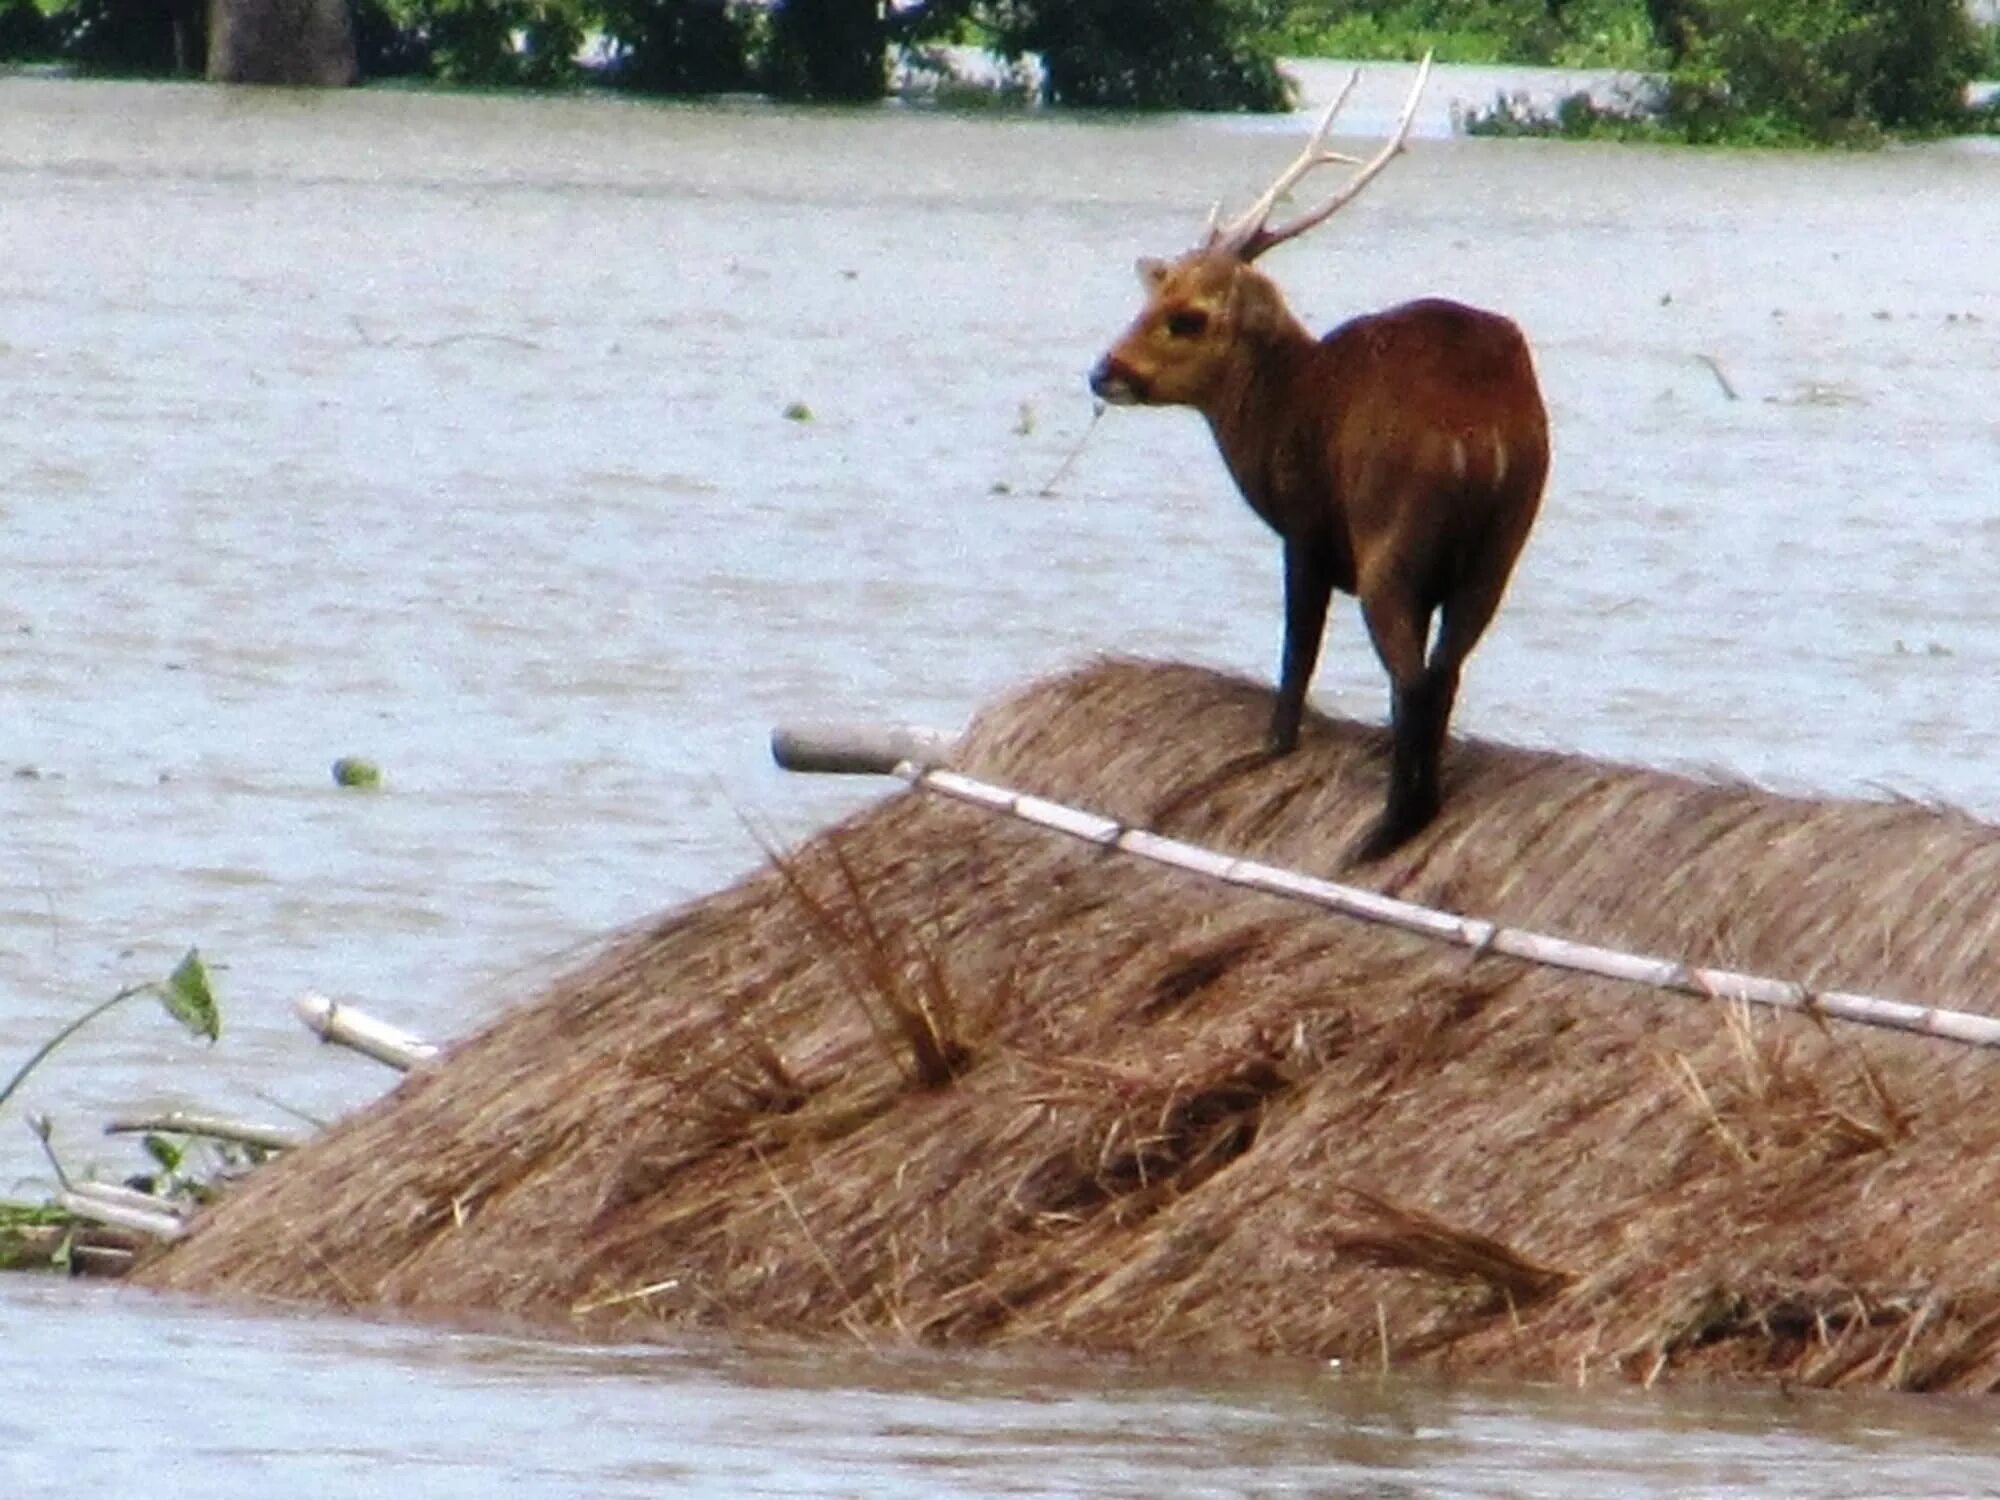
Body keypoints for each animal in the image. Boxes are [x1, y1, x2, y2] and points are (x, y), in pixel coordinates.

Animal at [1096, 58, 1544, 864]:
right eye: (1153, 296)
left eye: (1188, 318)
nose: (1102, 371)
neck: (1282, 407)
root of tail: (1481, 435)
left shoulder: (1303, 525)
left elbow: (1295, 645)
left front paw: (1274, 743)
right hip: (1501, 545)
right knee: (1447, 669)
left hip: (1391, 533)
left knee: (1411, 675)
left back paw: (1386, 827)